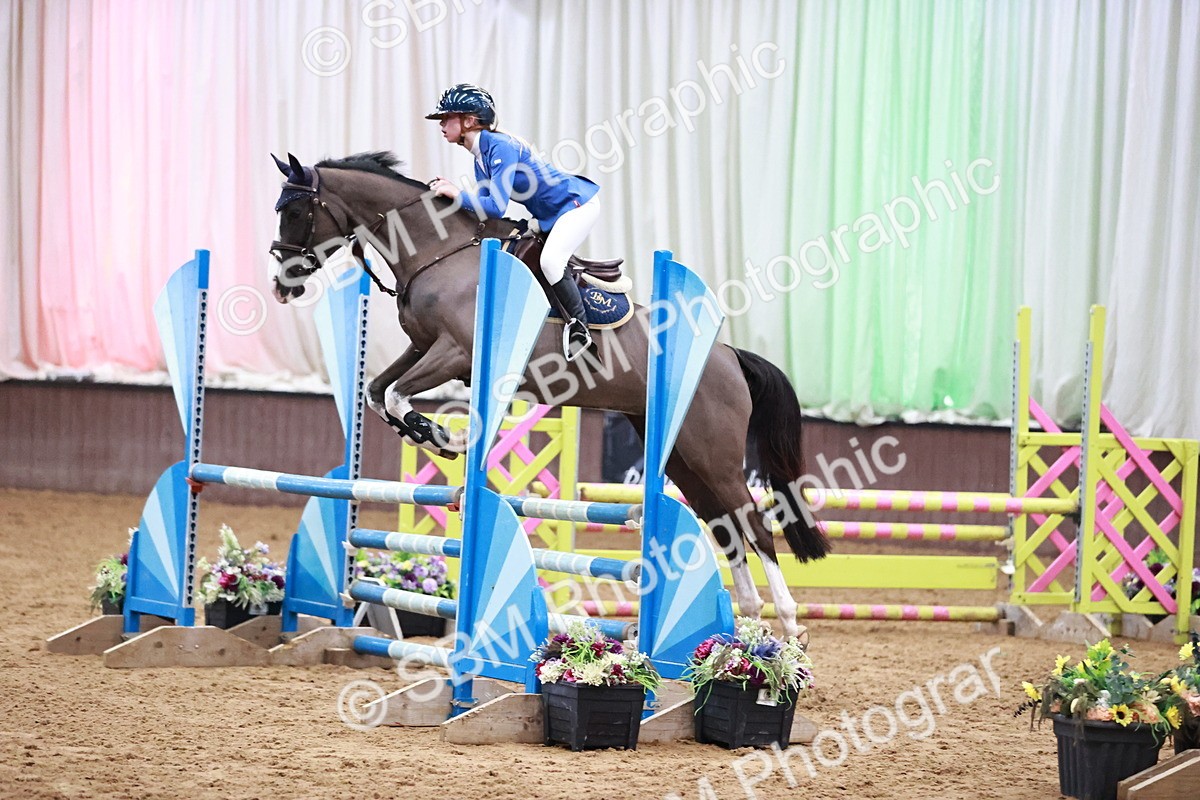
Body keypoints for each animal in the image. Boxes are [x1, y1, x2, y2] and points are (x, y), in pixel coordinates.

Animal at [267, 150, 829, 637]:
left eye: (294, 211)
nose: (280, 285)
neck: (437, 251)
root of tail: (728, 354)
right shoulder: (423, 347)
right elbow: (377, 391)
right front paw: (428, 434)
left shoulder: (454, 352)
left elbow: (398, 395)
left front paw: (445, 437)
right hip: (681, 453)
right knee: (724, 523)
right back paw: (747, 620)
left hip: (713, 451)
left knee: (754, 522)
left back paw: (788, 622)